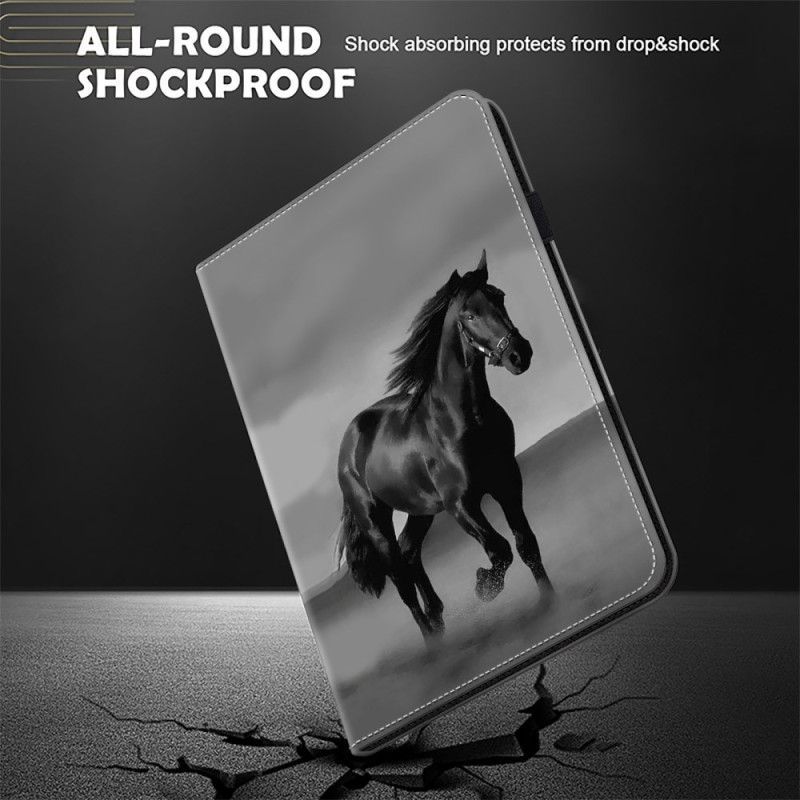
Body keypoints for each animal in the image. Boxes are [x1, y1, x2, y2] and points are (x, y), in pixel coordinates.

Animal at [335, 250, 553, 639]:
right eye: (469, 314)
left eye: (500, 296)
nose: (519, 354)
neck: (463, 419)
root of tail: (348, 443)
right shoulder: (460, 504)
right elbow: (500, 550)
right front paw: (484, 587)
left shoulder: (507, 482)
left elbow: (526, 544)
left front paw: (550, 602)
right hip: (376, 520)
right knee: (401, 579)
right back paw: (432, 640)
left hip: (420, 510)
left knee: (410, 554)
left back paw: (438, 619)